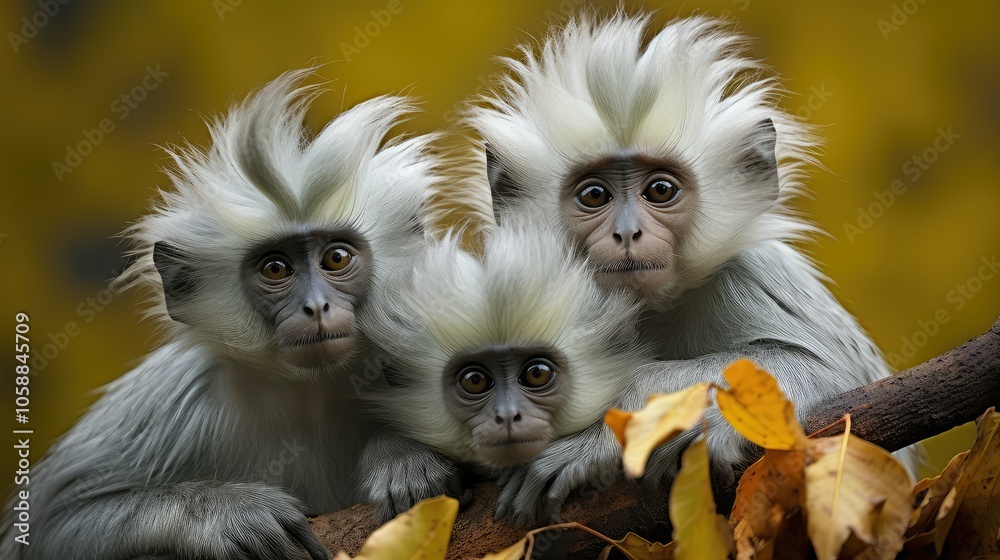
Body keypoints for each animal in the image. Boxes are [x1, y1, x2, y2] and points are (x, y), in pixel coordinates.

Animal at [0, 70, 438, 559]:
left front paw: (402, 456)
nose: (316, 306)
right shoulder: (180, 395)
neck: (310, 394)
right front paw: (234, 514)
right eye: (275, 269)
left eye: (337, 259)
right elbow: (47, 525)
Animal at [464, 14, 921, 525]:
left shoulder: (749, 277)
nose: (627, 233)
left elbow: (831, 377)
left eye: (660, 190)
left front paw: (596, 437)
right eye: (595, 195)